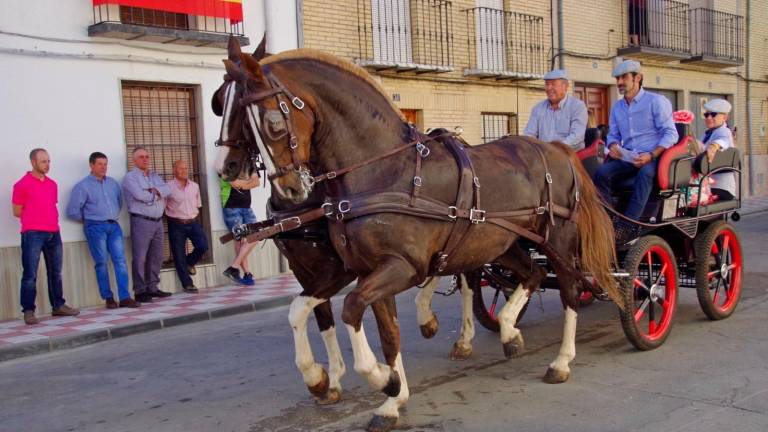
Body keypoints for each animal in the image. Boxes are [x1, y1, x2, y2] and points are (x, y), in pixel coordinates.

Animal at [225, 48, 620, 432]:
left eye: (273, 123)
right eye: (239, 120)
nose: (291, 188)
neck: (383, 170)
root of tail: (556, 149)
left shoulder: (400, 268)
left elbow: (350, 308)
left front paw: (381, 380)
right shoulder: (364, 270)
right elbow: (373, 329)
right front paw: (384, 397)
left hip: (558, 242)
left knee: (569, 289)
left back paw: (561, 361)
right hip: (504, 243)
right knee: (531, 275)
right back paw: (509, 331)